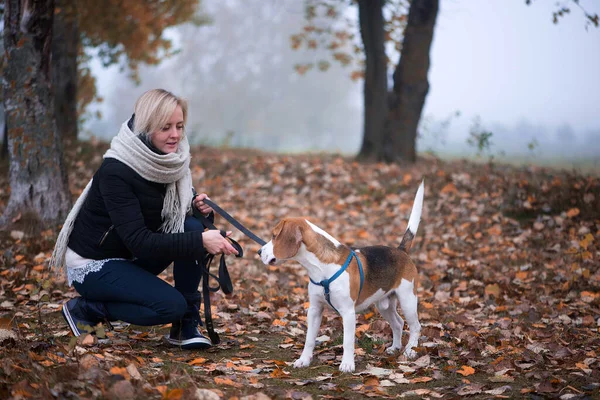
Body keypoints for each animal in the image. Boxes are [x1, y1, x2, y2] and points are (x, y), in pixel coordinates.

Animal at [260, 181, 424, 372]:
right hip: (384, 304)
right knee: (398, 323)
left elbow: (347, 342)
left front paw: (347, 364)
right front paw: (304, 360)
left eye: (274, 236)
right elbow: (309, 339)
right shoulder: (315, 309)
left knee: (415, 326)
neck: (321, 269)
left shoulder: (348, 312)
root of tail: (401, 250)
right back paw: (395, 347)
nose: (259, 252)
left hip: (407, 300)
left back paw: (410, 351)